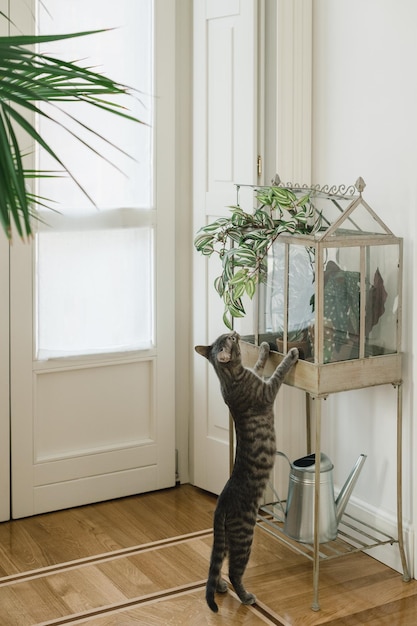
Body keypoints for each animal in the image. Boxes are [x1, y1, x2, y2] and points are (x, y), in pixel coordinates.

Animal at [193, 332, 298, 608]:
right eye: (229, 339)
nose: (236, 333)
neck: (230, 379)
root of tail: (221, 505)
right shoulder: (267, 390)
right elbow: (279, 371)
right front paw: (290, 355)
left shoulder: (256, 374)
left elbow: (260, 364)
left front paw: (264, 348)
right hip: (244, 538)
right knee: (234, 571)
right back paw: (246, 596)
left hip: (226, 539)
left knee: (216, 563)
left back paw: (219, 586)